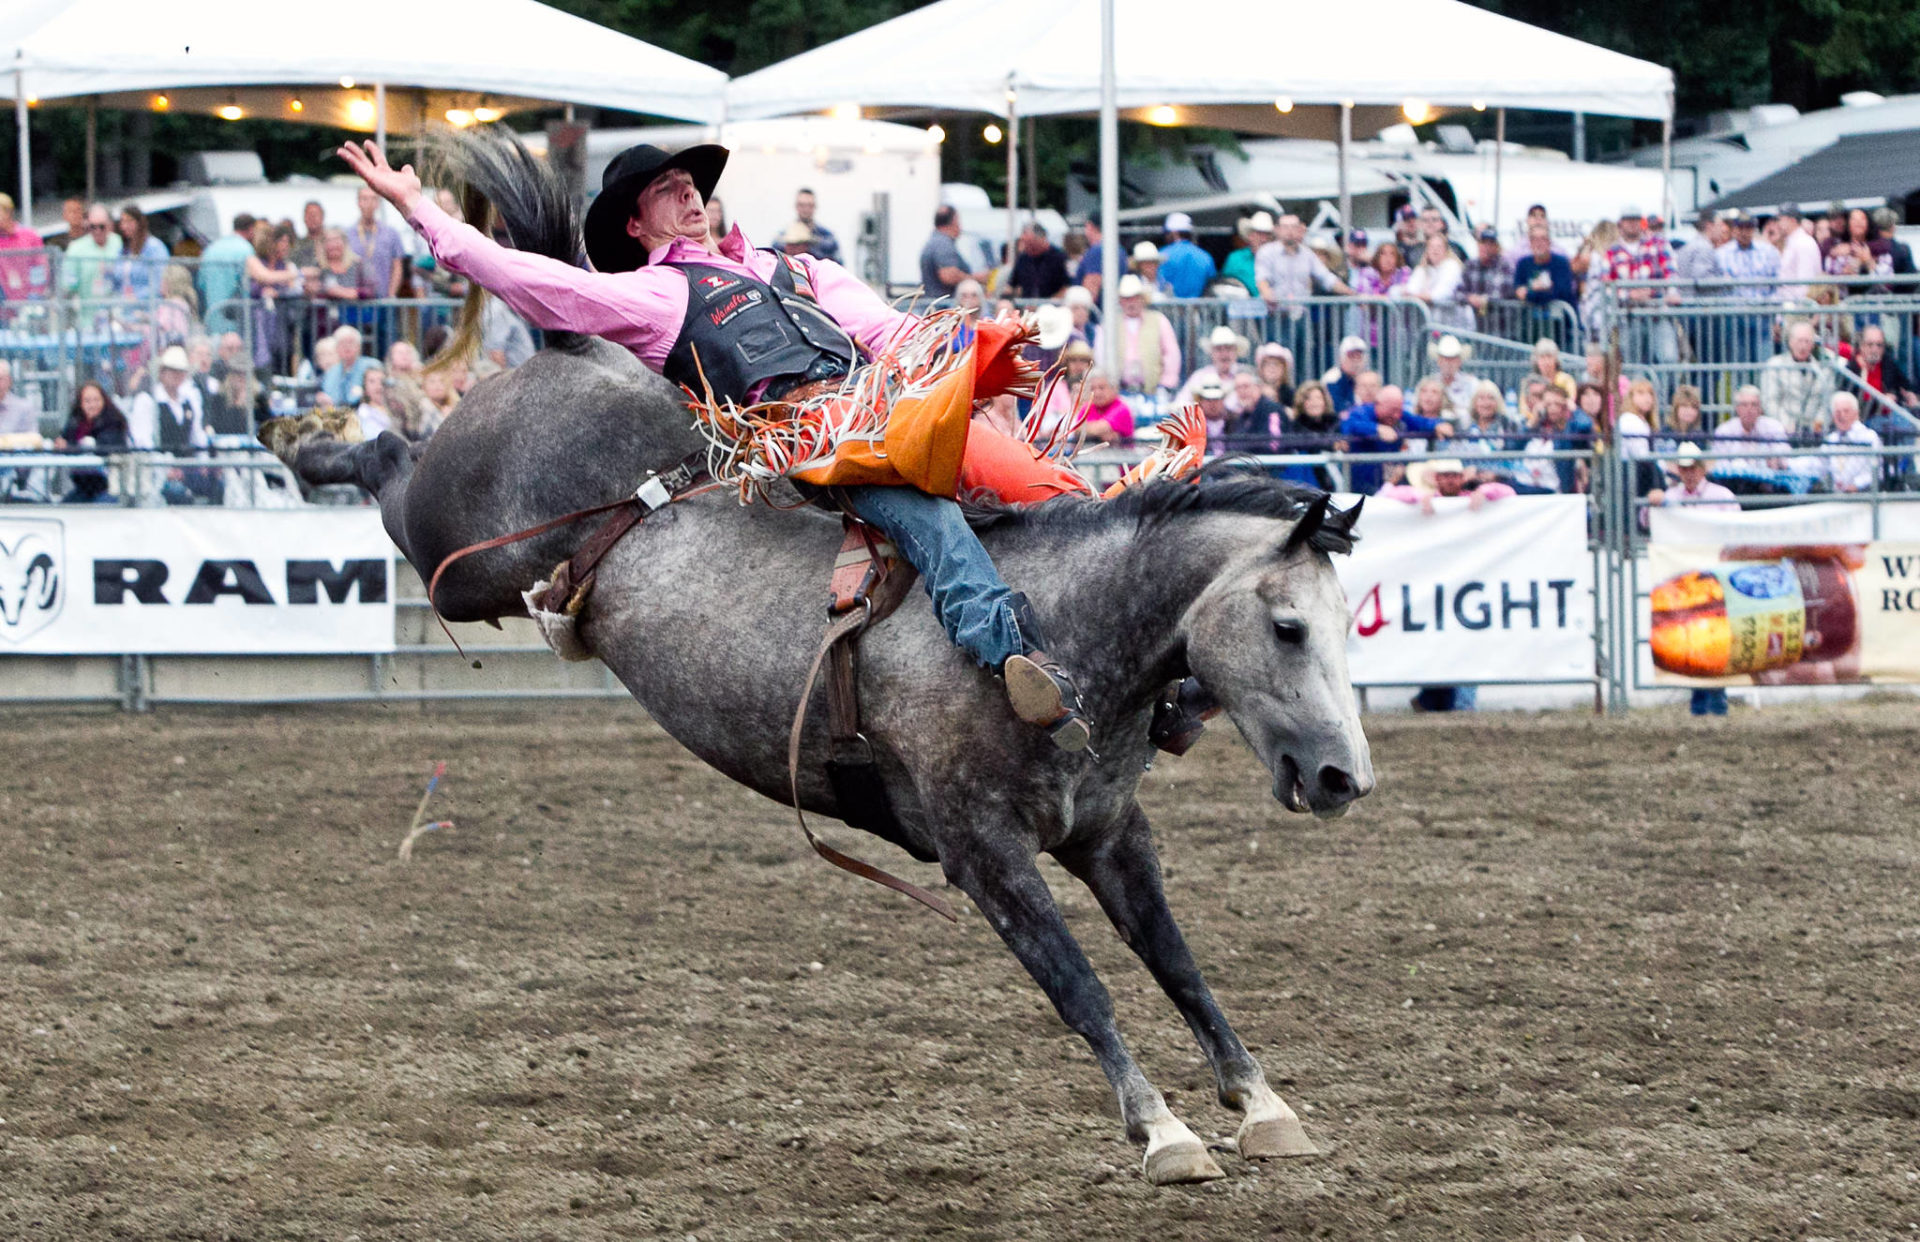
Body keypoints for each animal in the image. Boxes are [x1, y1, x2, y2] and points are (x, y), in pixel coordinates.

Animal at [263, 133, 1374, 1182]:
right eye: (1287, 627)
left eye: (1345, 620)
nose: (1342, 777)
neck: (1067, 629)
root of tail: (572, 348)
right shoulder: (981, 852)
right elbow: (1080, 986)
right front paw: (1163, 1132)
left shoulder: (1111, 829)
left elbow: (1176, 961)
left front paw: (1263, 1105)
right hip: (455, 554)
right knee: (390, 461)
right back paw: (306, 431)